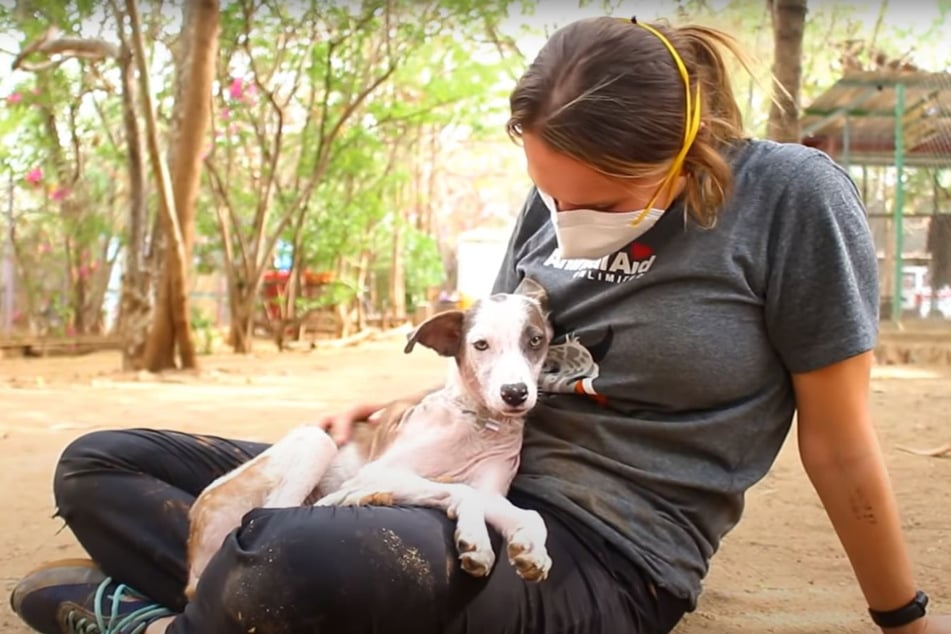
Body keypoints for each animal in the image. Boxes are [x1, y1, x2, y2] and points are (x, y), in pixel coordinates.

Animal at [186, 276, 556, 596]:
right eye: (481, 345)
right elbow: (463, 491)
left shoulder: (491, 491)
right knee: (281, 508)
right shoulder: (381, 468)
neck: (475, 425)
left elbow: (524, 512)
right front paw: (477, 538)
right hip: (316, 441)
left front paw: (529, 548)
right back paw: (357, 497)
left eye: (535, 340)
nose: (515, 393)